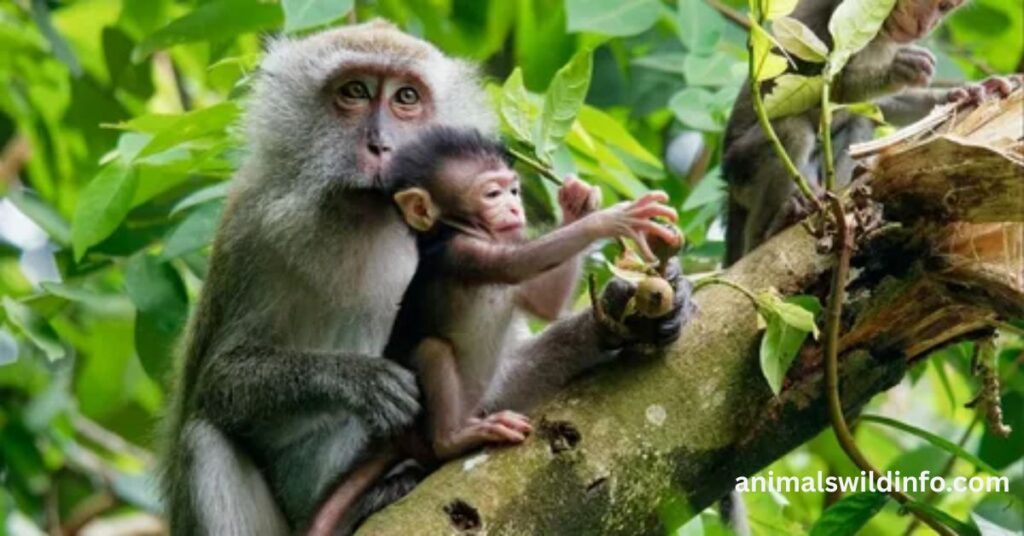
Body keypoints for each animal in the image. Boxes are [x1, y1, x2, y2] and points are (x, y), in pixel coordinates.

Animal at [161, 19, 692, 536]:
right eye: (354, 91)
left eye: (406, 97)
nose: (380, 145)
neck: (371, 215)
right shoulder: (251, 230)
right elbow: (218, 381)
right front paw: (361, 380)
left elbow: (501, 381)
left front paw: (627, 310)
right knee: (202, 437)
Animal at [722, 0, 1020, 265]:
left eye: (945, 8)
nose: (928, 25)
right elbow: (816, 87)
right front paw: (892, 72)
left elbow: (873, 108)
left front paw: (964, 92)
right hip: (740, 167)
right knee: (794, 130)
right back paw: (766, 232)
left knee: (857, 122)